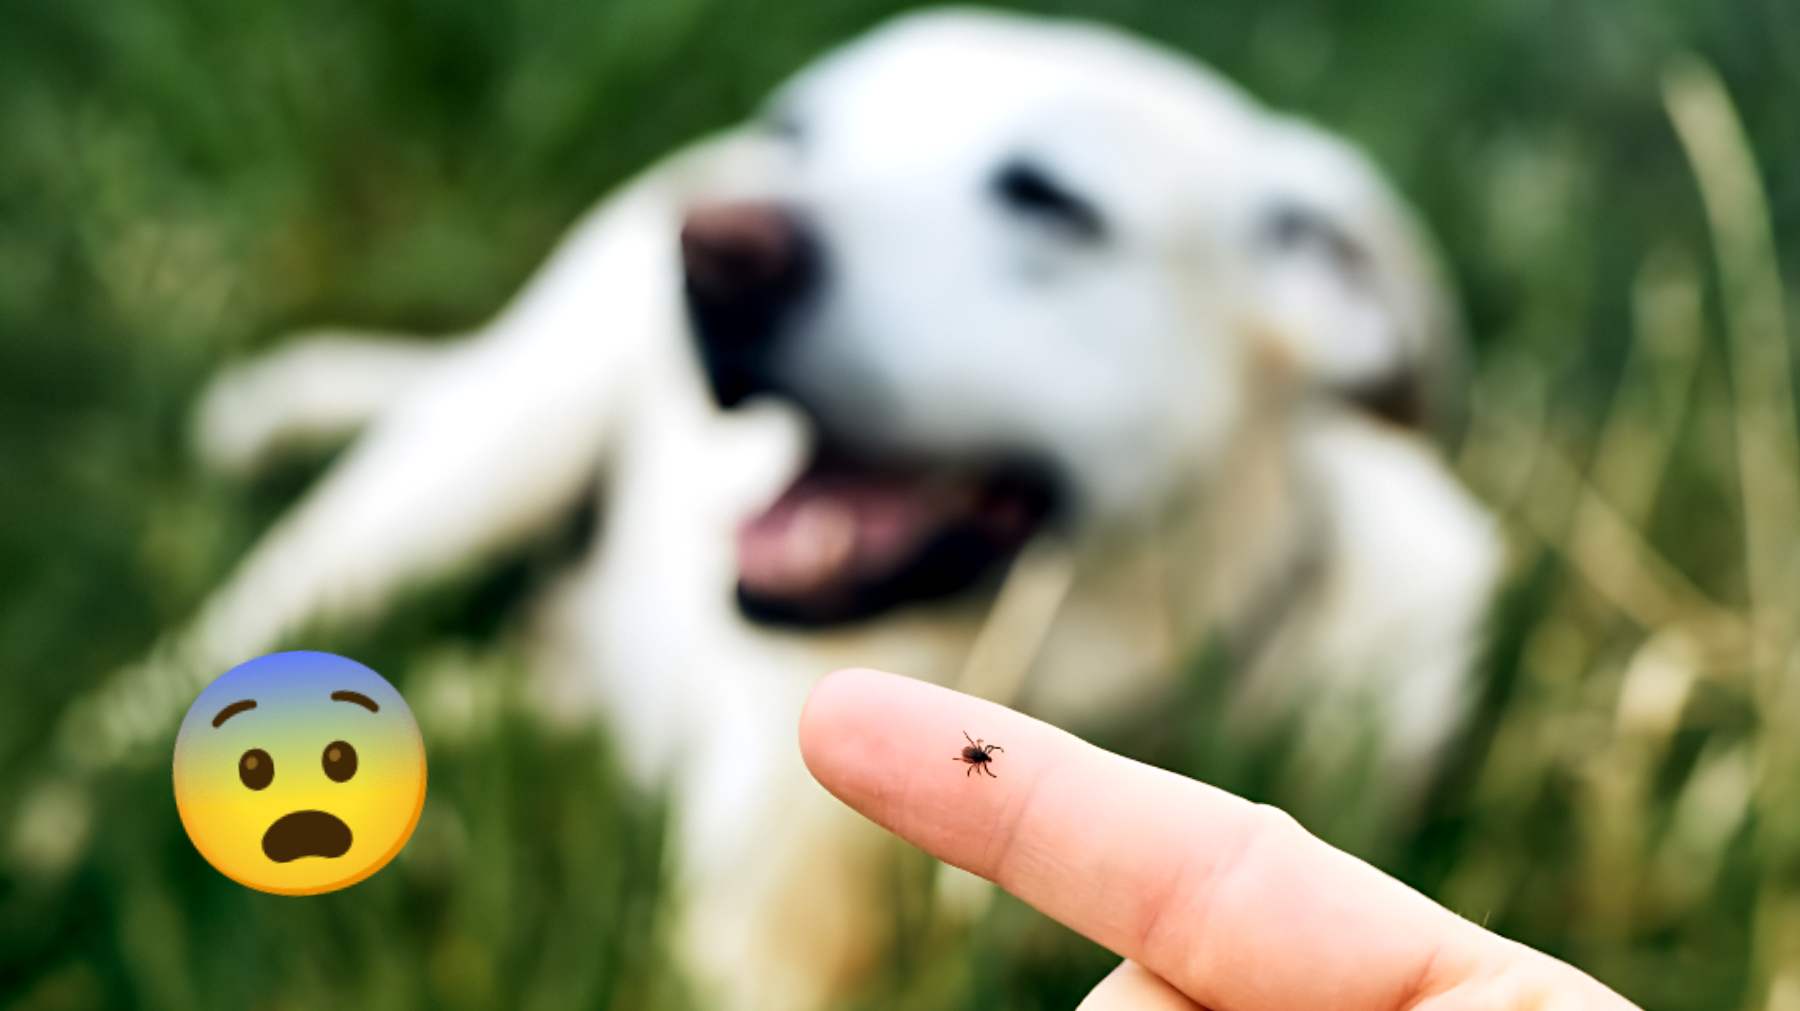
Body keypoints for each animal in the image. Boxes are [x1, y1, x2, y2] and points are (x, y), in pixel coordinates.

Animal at [63, 9, 1497, 1007]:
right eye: (802, 133)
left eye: (1049, 201)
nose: (715, 247)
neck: (1063, 669)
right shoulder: (751, 931)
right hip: (467, 464)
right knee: (190, 673)